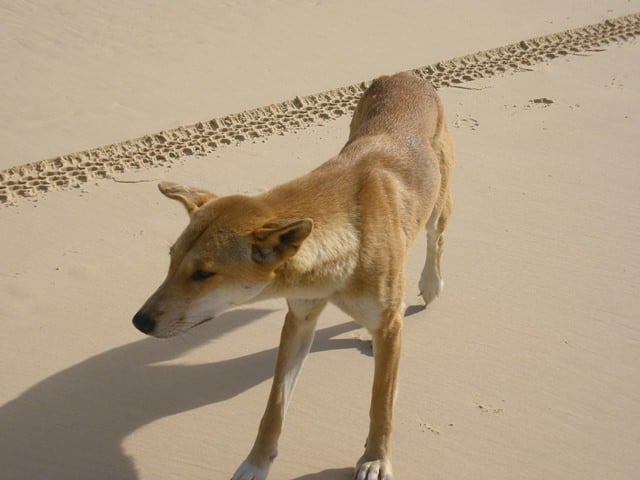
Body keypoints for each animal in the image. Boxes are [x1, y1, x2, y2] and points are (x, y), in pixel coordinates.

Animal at [132, 72, 456, 480]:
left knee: (435, 239)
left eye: (204, 273)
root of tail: (406, 76)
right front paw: (255, 463)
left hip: (439, 204)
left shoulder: (385, 324)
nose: (139, 321)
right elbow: (274, 406)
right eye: (171, 260)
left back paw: (430, 282)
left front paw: (376, 458)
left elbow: (381, 405)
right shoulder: (299, 319)